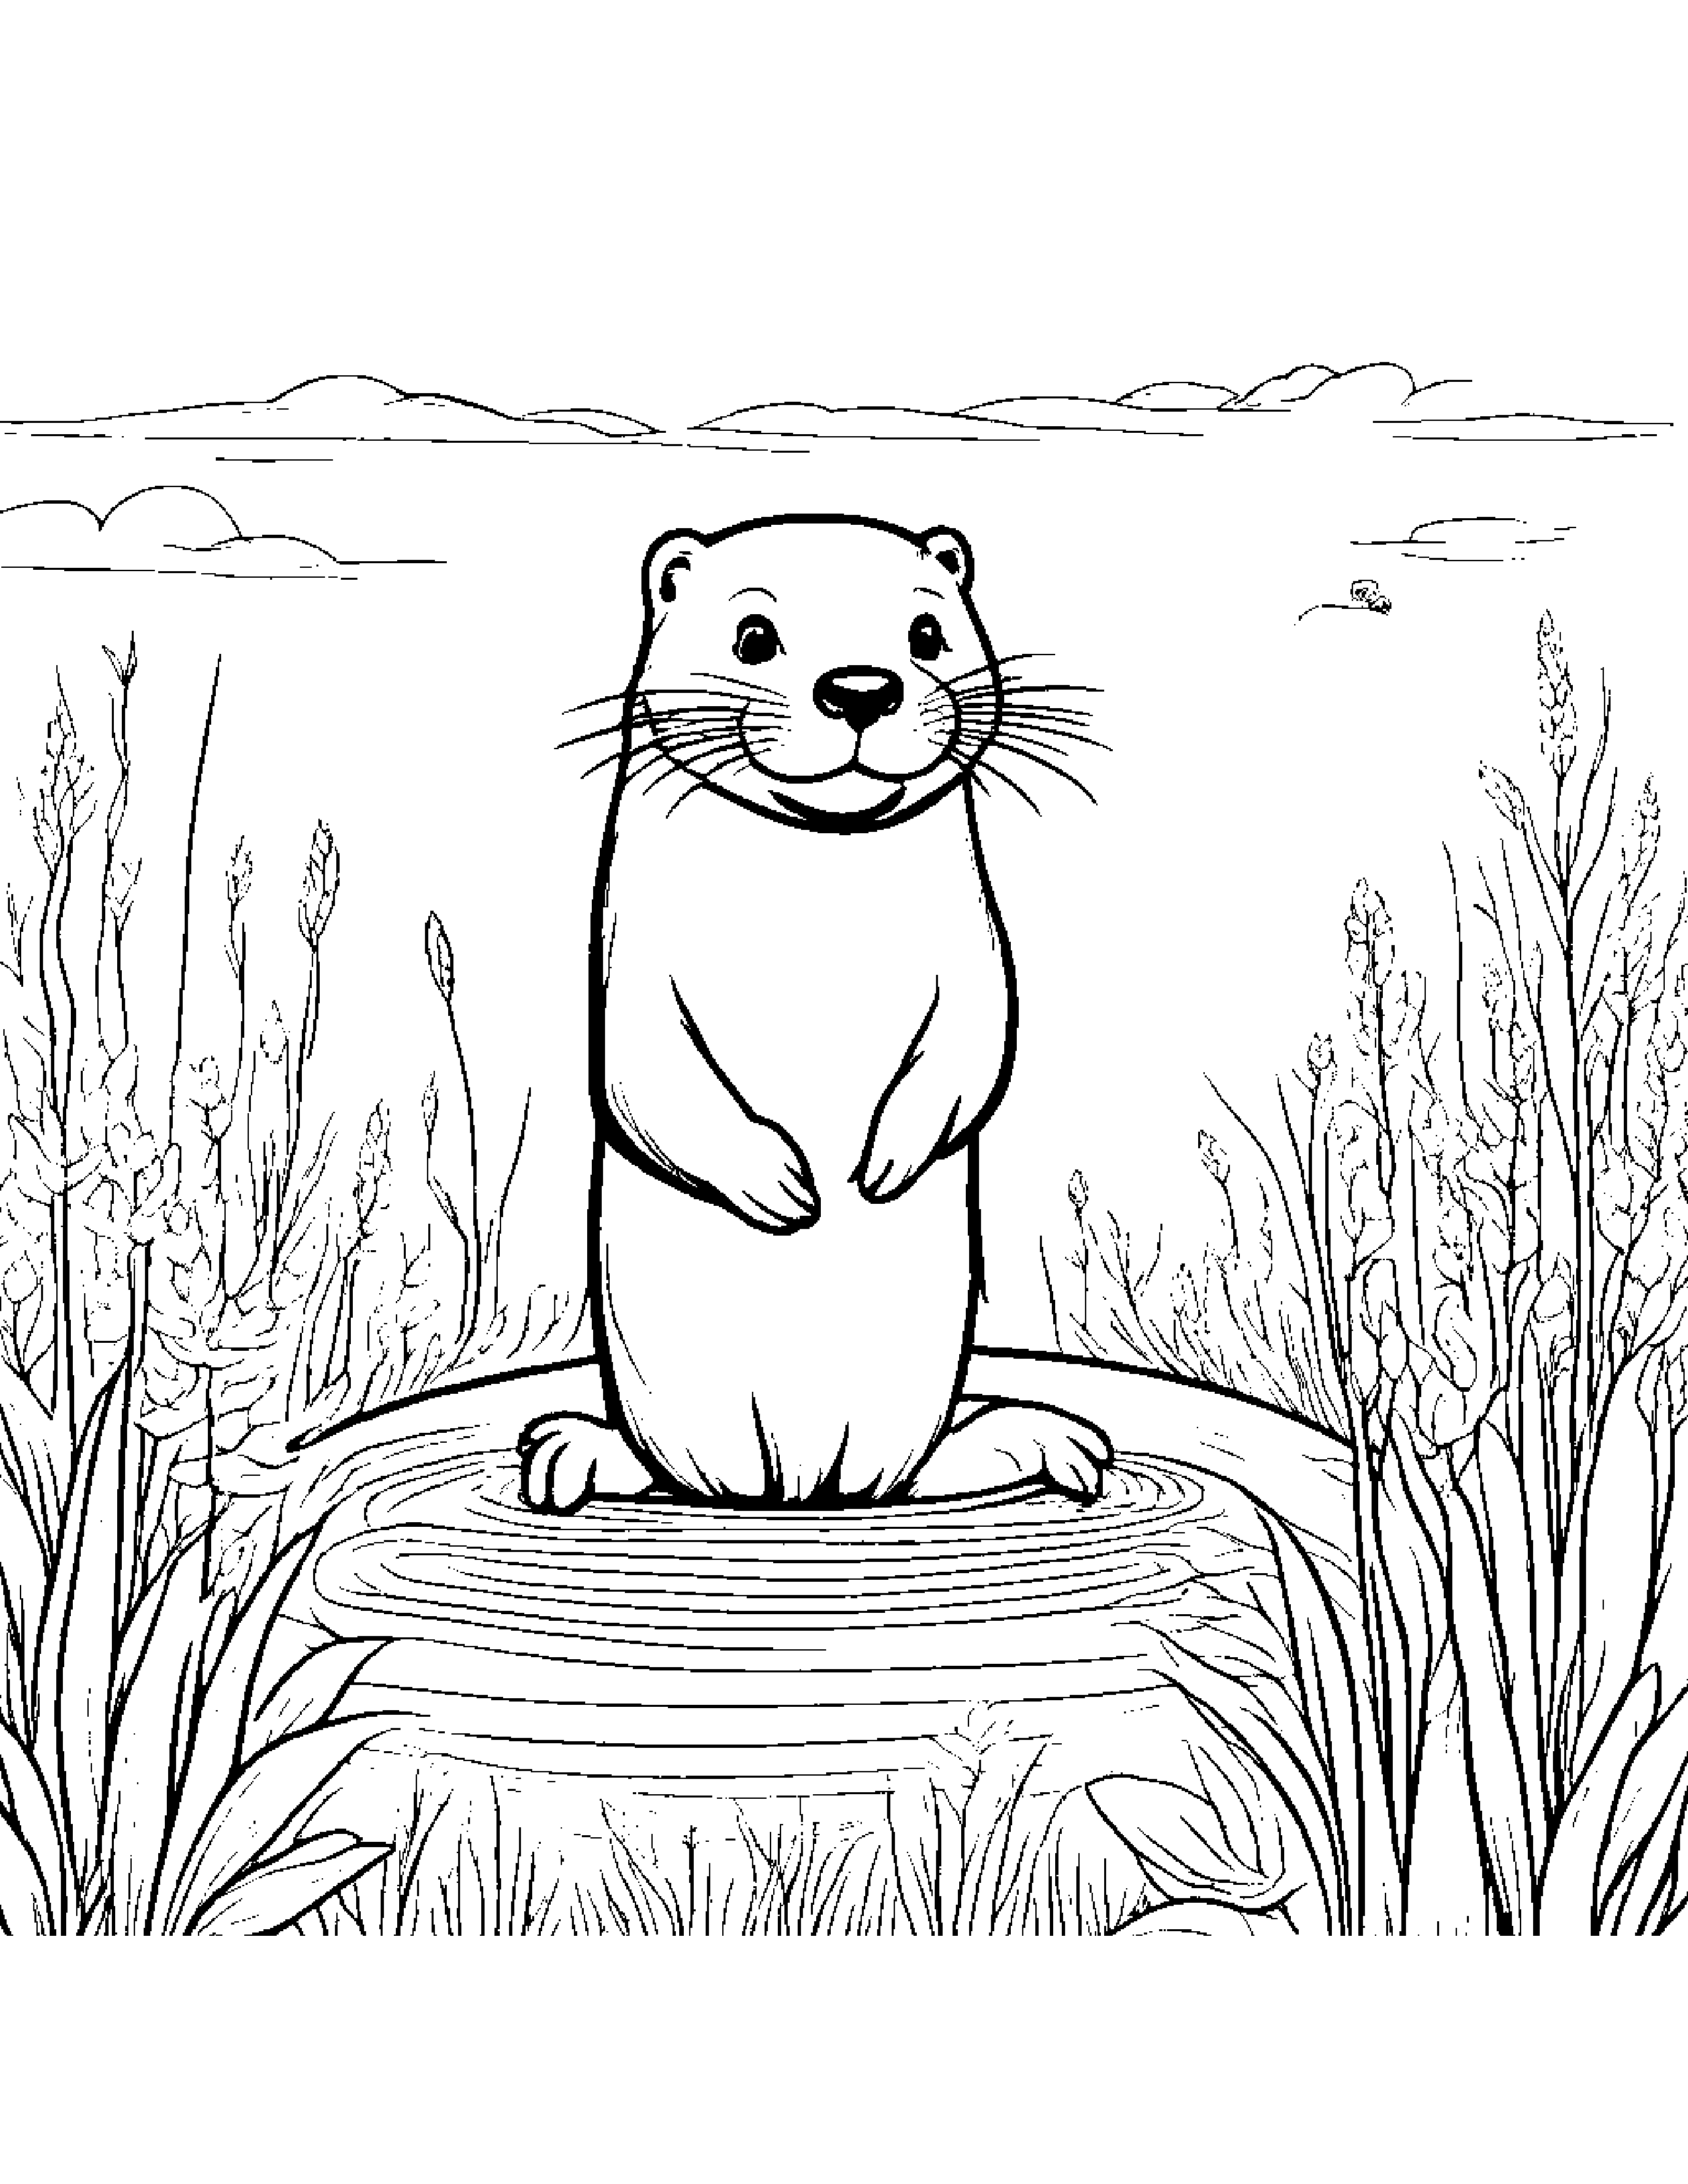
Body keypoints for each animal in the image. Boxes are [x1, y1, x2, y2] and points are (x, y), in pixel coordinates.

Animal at [519, 513, 1113, 1509]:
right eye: (753, 636)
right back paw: (570, 1454)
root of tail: (796, 1483)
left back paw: (1052, 1440)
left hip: (905, 1430)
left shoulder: (971, 931)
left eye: (926, 633)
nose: (860, 688)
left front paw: (883, 1163)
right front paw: (783, 1185)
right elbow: (641, 1073)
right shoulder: (630, 950)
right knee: (657, 1465)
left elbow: (979, 1035)